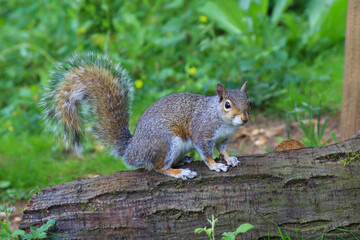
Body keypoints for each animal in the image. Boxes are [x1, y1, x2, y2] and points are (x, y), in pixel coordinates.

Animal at [40, 53, 250, 180]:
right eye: (227, 105)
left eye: (249, 102)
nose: (245, 119)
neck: (220, 119)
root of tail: (131, 150)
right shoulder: (202, 132)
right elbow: (206, 153)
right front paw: (215, 165)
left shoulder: (223, 137)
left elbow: (223, 149)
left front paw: (229, 158)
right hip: (164, 142)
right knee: (158, 167)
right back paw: (180, 171)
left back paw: (184, 161)